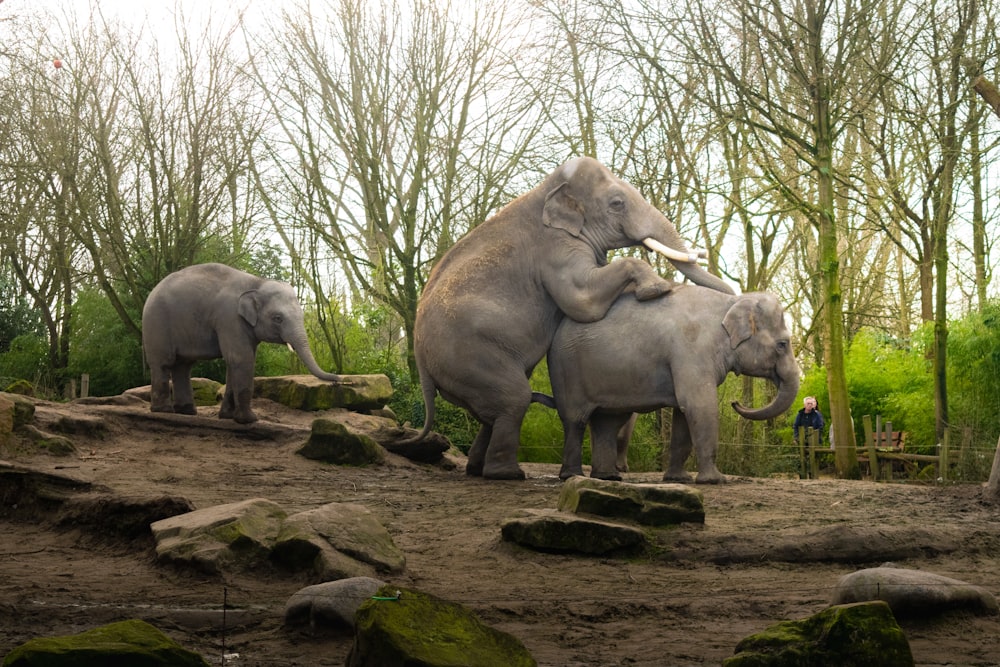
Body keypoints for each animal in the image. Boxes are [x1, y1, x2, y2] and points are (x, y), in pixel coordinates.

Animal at [139, 264, 346, 426]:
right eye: (278, 318)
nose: (338, 379)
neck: (256, 282)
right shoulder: (230, 318)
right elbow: (241, 358)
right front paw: (249, 420)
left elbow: (235, 362)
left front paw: (228, 417)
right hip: (156, 324)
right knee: (163, 363)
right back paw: (164, 410)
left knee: (183, 366)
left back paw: (187, 411)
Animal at [400, 157, 736, 480]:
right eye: (617, 203)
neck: (546, 189)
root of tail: (420, 362)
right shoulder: (554, 248)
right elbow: (582, 300)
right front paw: (656, 290)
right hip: (469, 355)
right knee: (514, 399)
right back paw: (508, 474)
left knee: (492, 413)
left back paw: (477, 469)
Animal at [544, 284, 800, 482]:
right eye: (782, 344)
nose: (735, 402)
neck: (732, 300)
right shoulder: (691, 351)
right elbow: (699, 405)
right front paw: (715, 480)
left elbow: (683, 413)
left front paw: (679, 479)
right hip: (566, 369)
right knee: (575, 420)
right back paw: (572, 476)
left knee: (607, 423)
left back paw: (608, 477)